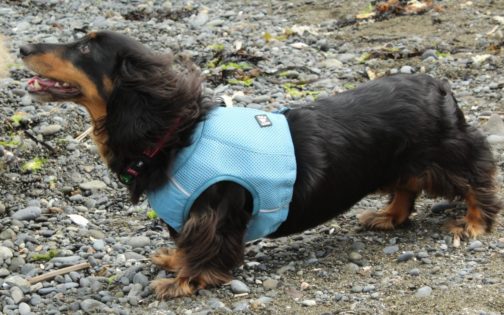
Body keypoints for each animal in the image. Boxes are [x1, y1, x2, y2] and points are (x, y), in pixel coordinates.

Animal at [19, 31, 500, 298]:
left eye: (84, 48)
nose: (22, 47)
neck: (177, 132)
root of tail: (435, 82)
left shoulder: (212, 211)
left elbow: (204, 248)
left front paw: (183, 281)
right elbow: (183, 244)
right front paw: (173, 261)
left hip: (446, 155)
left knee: (478, 174)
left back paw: (475, 222)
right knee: (406, 186)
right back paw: (390, 216)